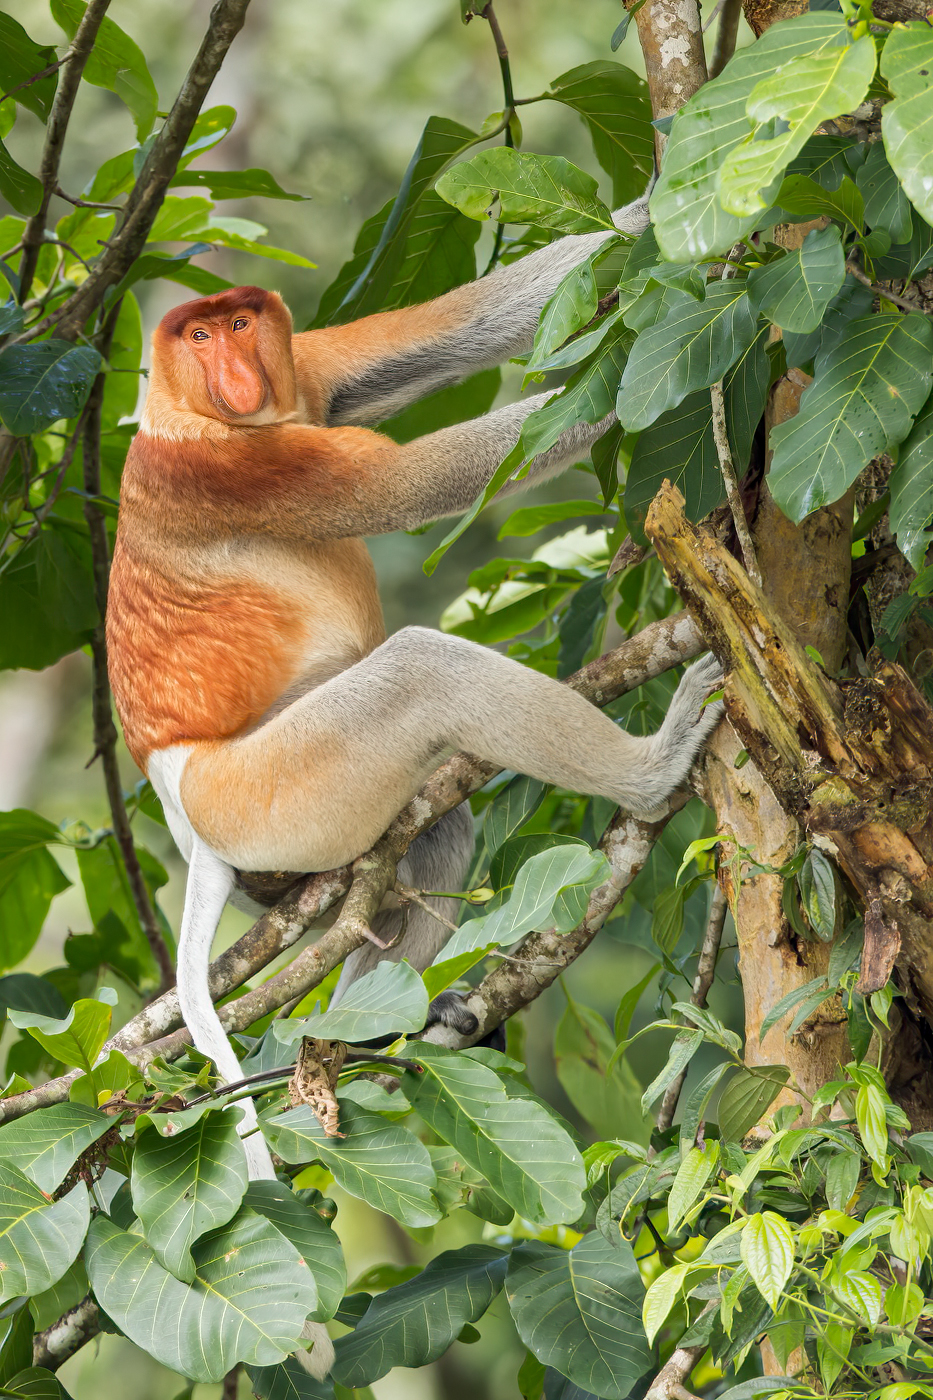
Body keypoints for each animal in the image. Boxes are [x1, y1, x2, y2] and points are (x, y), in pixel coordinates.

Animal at [107, 189, 717, 1226]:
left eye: (240, 322)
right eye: (195, 334)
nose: (233, 372)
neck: (187, 412)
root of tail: (188, 825)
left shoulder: (307, 373)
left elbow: (455, 327)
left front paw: (673, 214)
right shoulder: (231, 470)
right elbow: (416, 482)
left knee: (432, 837)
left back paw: (361, 1047)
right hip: (262, 797)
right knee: (419, 673)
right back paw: (653, 770)